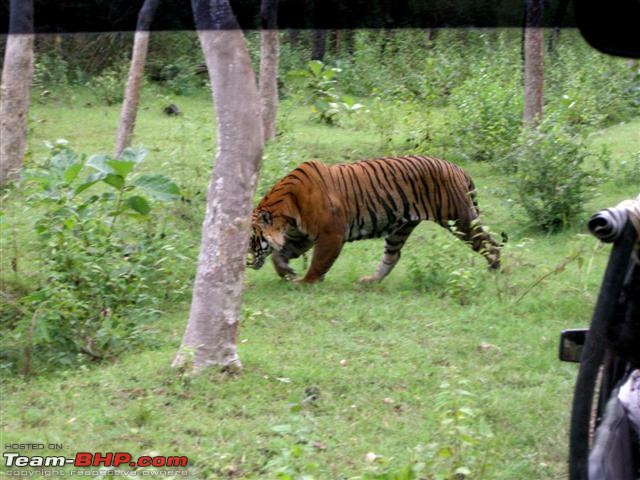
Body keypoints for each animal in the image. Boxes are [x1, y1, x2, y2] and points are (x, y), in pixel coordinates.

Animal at [248, 156, 502, 284]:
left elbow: (318, 263)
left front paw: (305, 282)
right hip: (400, 228)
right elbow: (279, 255)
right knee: (393, 256)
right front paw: (287, 273)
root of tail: (459, 168)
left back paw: (494, 270)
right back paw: (370, 280)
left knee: (490, 243)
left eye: (251, 240)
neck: (287, 214)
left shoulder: (331, 234)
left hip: (459, 220)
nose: (247, 263)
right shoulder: (304, 236)